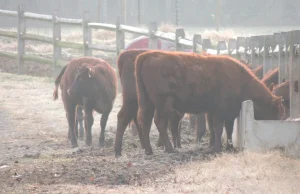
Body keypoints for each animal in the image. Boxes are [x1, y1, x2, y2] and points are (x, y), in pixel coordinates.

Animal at [135, 50, 284, 155]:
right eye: (279, 112)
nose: (279, 121)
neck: (241, 81)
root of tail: (148, 55)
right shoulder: (220, 112)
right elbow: (218, 129)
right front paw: (217, 148)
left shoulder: (226, 113)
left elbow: (225, 129)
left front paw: (227, 147)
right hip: (163, 104)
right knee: (159, 122)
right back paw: (170, 149)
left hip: (147, 103)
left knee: (145, 122)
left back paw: (149, 151)